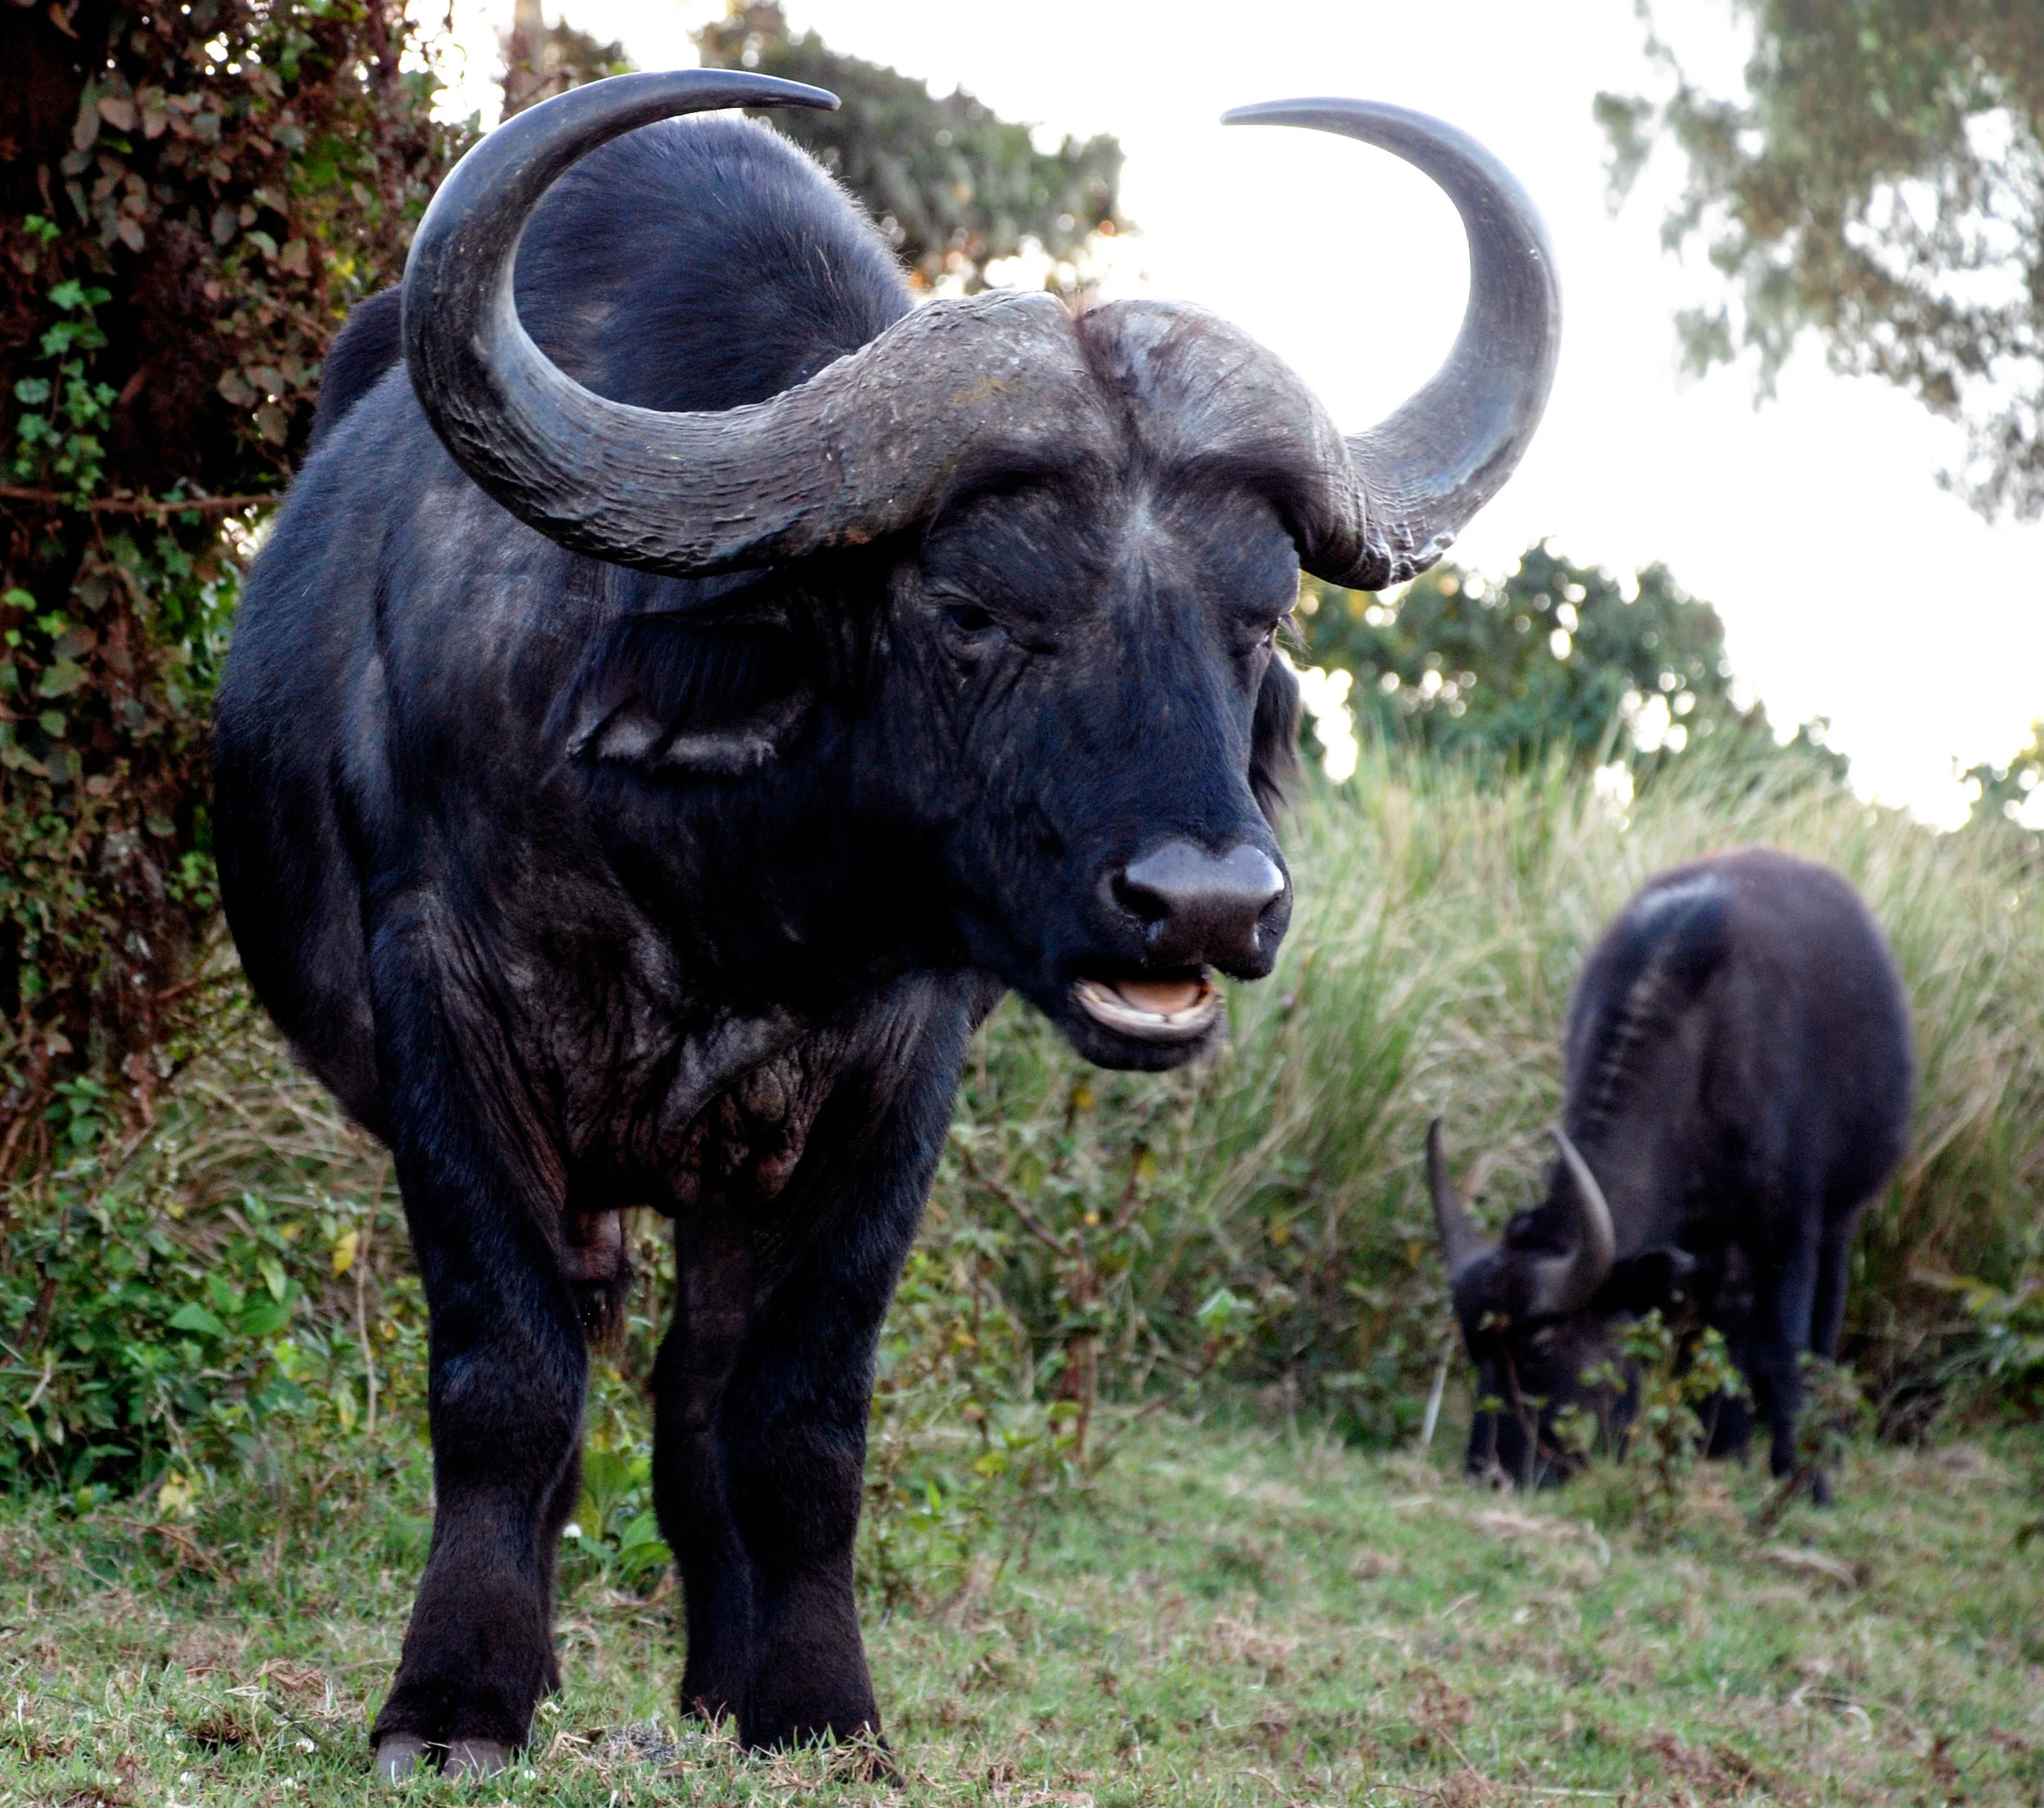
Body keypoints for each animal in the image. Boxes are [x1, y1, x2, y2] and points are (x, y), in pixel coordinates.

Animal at [213, 70, 1558, 1774]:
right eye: (972, 610)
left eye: (1259, 619)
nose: (1205, 902)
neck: (729, 895)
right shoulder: (442, 1015)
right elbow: (507, 1373)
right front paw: (457, 1700)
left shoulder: (894, 1083)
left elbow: (796, 1412)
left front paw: (811, 1703)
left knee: (691, 1388)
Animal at [1428, 847, 1914, 1495]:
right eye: (1475, 1347)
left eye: (1540, 1345)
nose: (1489, 1469)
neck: (1698, 1049)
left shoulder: (1788, 1224)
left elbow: (1781, 1348)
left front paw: (1805, 1479)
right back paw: (1726, 1447)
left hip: (1841, 1213)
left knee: (1820, 1325)